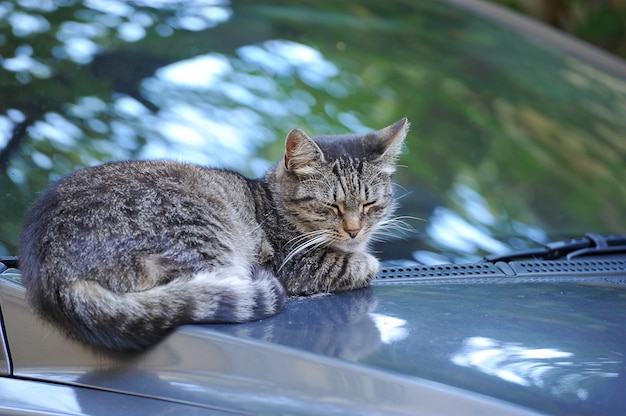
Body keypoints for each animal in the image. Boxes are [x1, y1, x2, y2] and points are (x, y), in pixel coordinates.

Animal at [17, 117, 408, 352]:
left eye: (371, 204)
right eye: (331, 206)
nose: (354, 230)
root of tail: (54, 275)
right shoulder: (297, 266)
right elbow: (359, 265)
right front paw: (363, 260)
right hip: (204, 237)